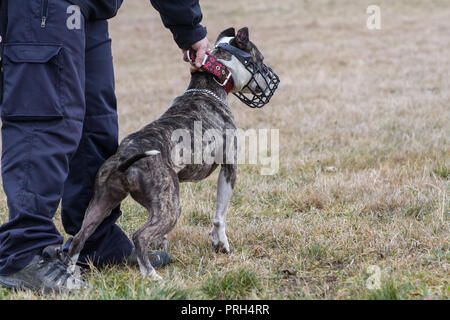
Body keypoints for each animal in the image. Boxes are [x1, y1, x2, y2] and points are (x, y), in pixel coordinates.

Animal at [68, 27, 268, 278]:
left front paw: (166, 241)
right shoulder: (229, 168)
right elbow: (220, 215)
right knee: (139, 236)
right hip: (169, 209)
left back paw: (68, 274)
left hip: (102, 202)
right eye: (260, 61)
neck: (207, 87)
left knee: (79, 237)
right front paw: (221, 243)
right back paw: (151, 275)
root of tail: (125, 159)